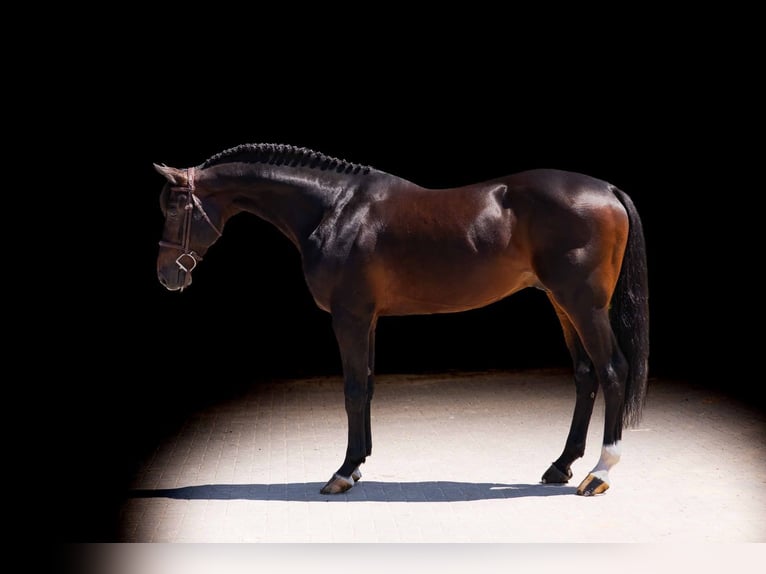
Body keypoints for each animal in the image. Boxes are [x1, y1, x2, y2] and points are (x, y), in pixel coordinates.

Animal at [154, 143, 649, 497]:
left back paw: (600, 473)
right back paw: (561, 465)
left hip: (584, 305)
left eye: (175, 208)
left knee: (611, 371)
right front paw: (359, 465)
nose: (166, 275)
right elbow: (368, 386)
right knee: (585, 376)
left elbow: (354, 390)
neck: (335, 209)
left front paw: (342, 472)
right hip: (562, 305)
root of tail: (607, 189)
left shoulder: (350, 317)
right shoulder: (368, 318)